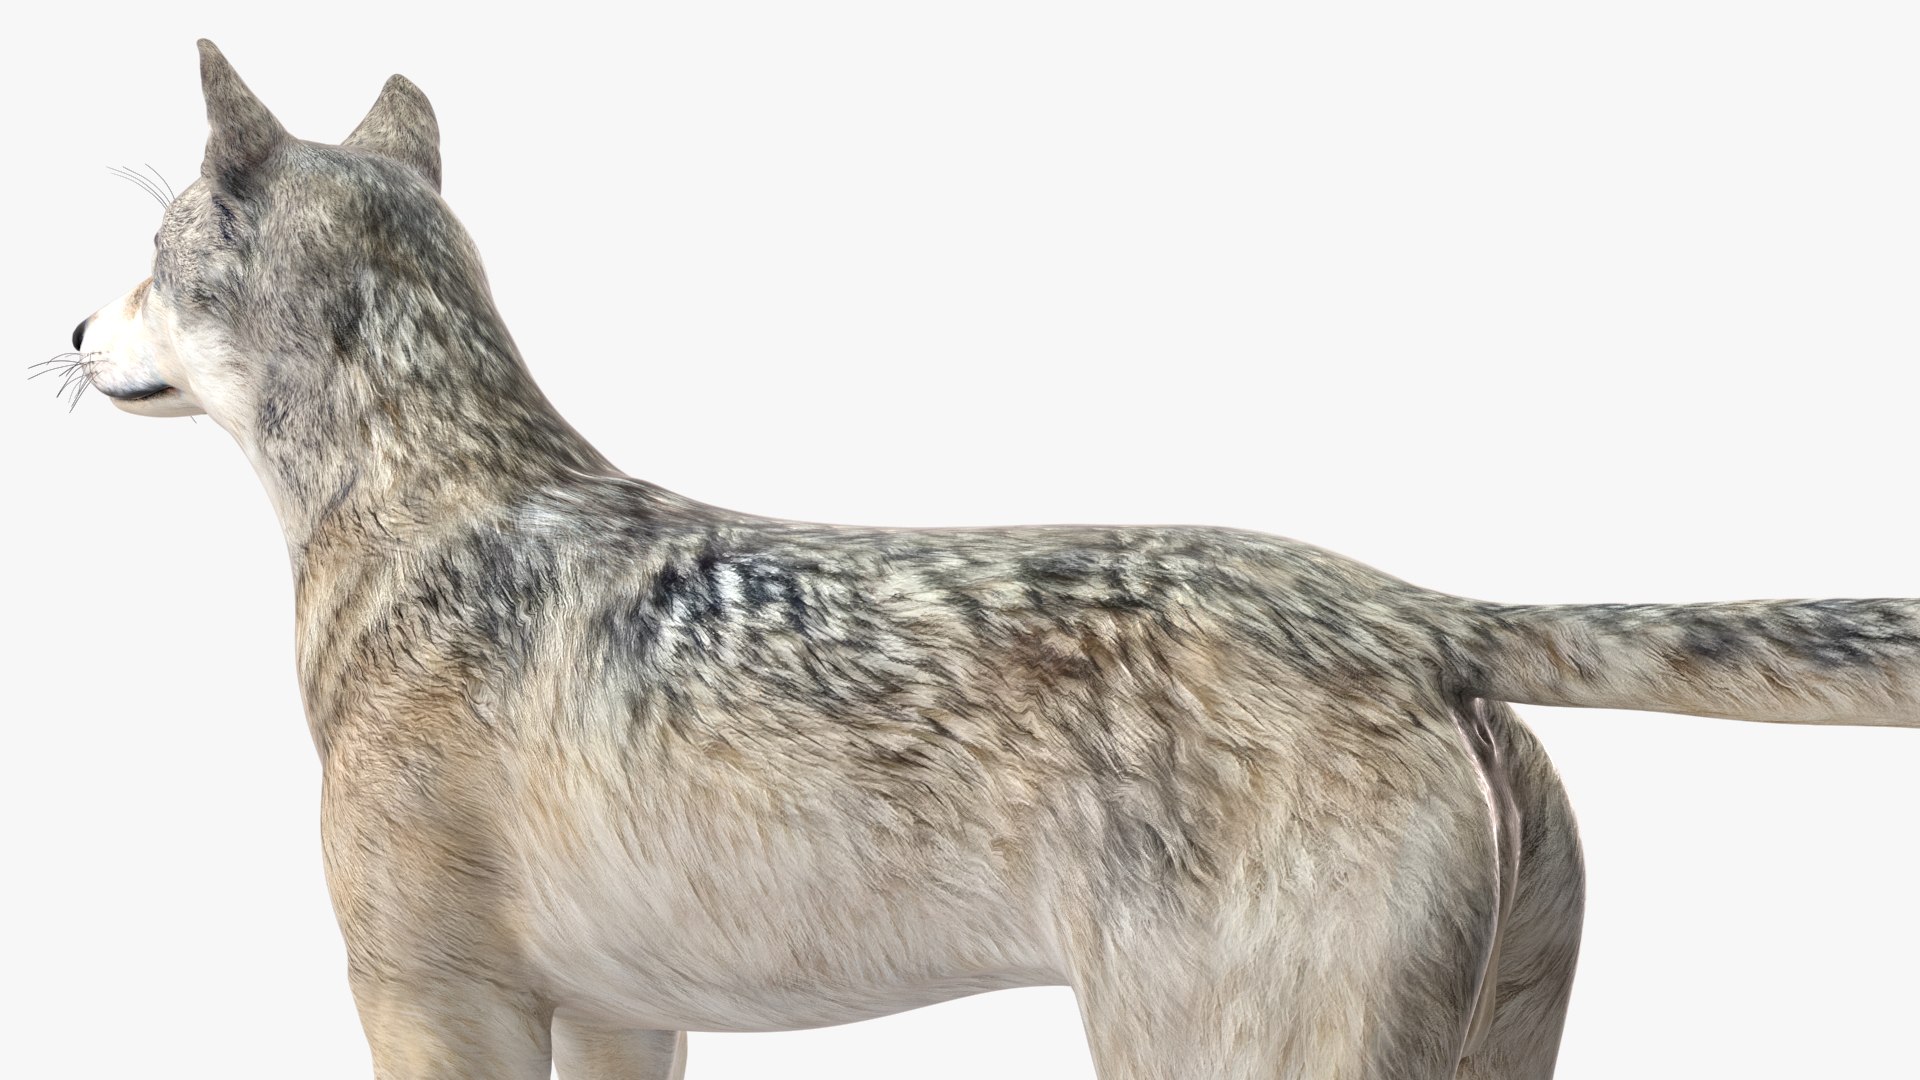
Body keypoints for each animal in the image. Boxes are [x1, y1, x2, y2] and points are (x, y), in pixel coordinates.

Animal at [59, 40, 1916, 1080]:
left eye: (151, 251)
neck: (425, 499)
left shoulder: (433, 1001)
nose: (70, 332)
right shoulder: (616, 1017)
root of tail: (1402, 615)